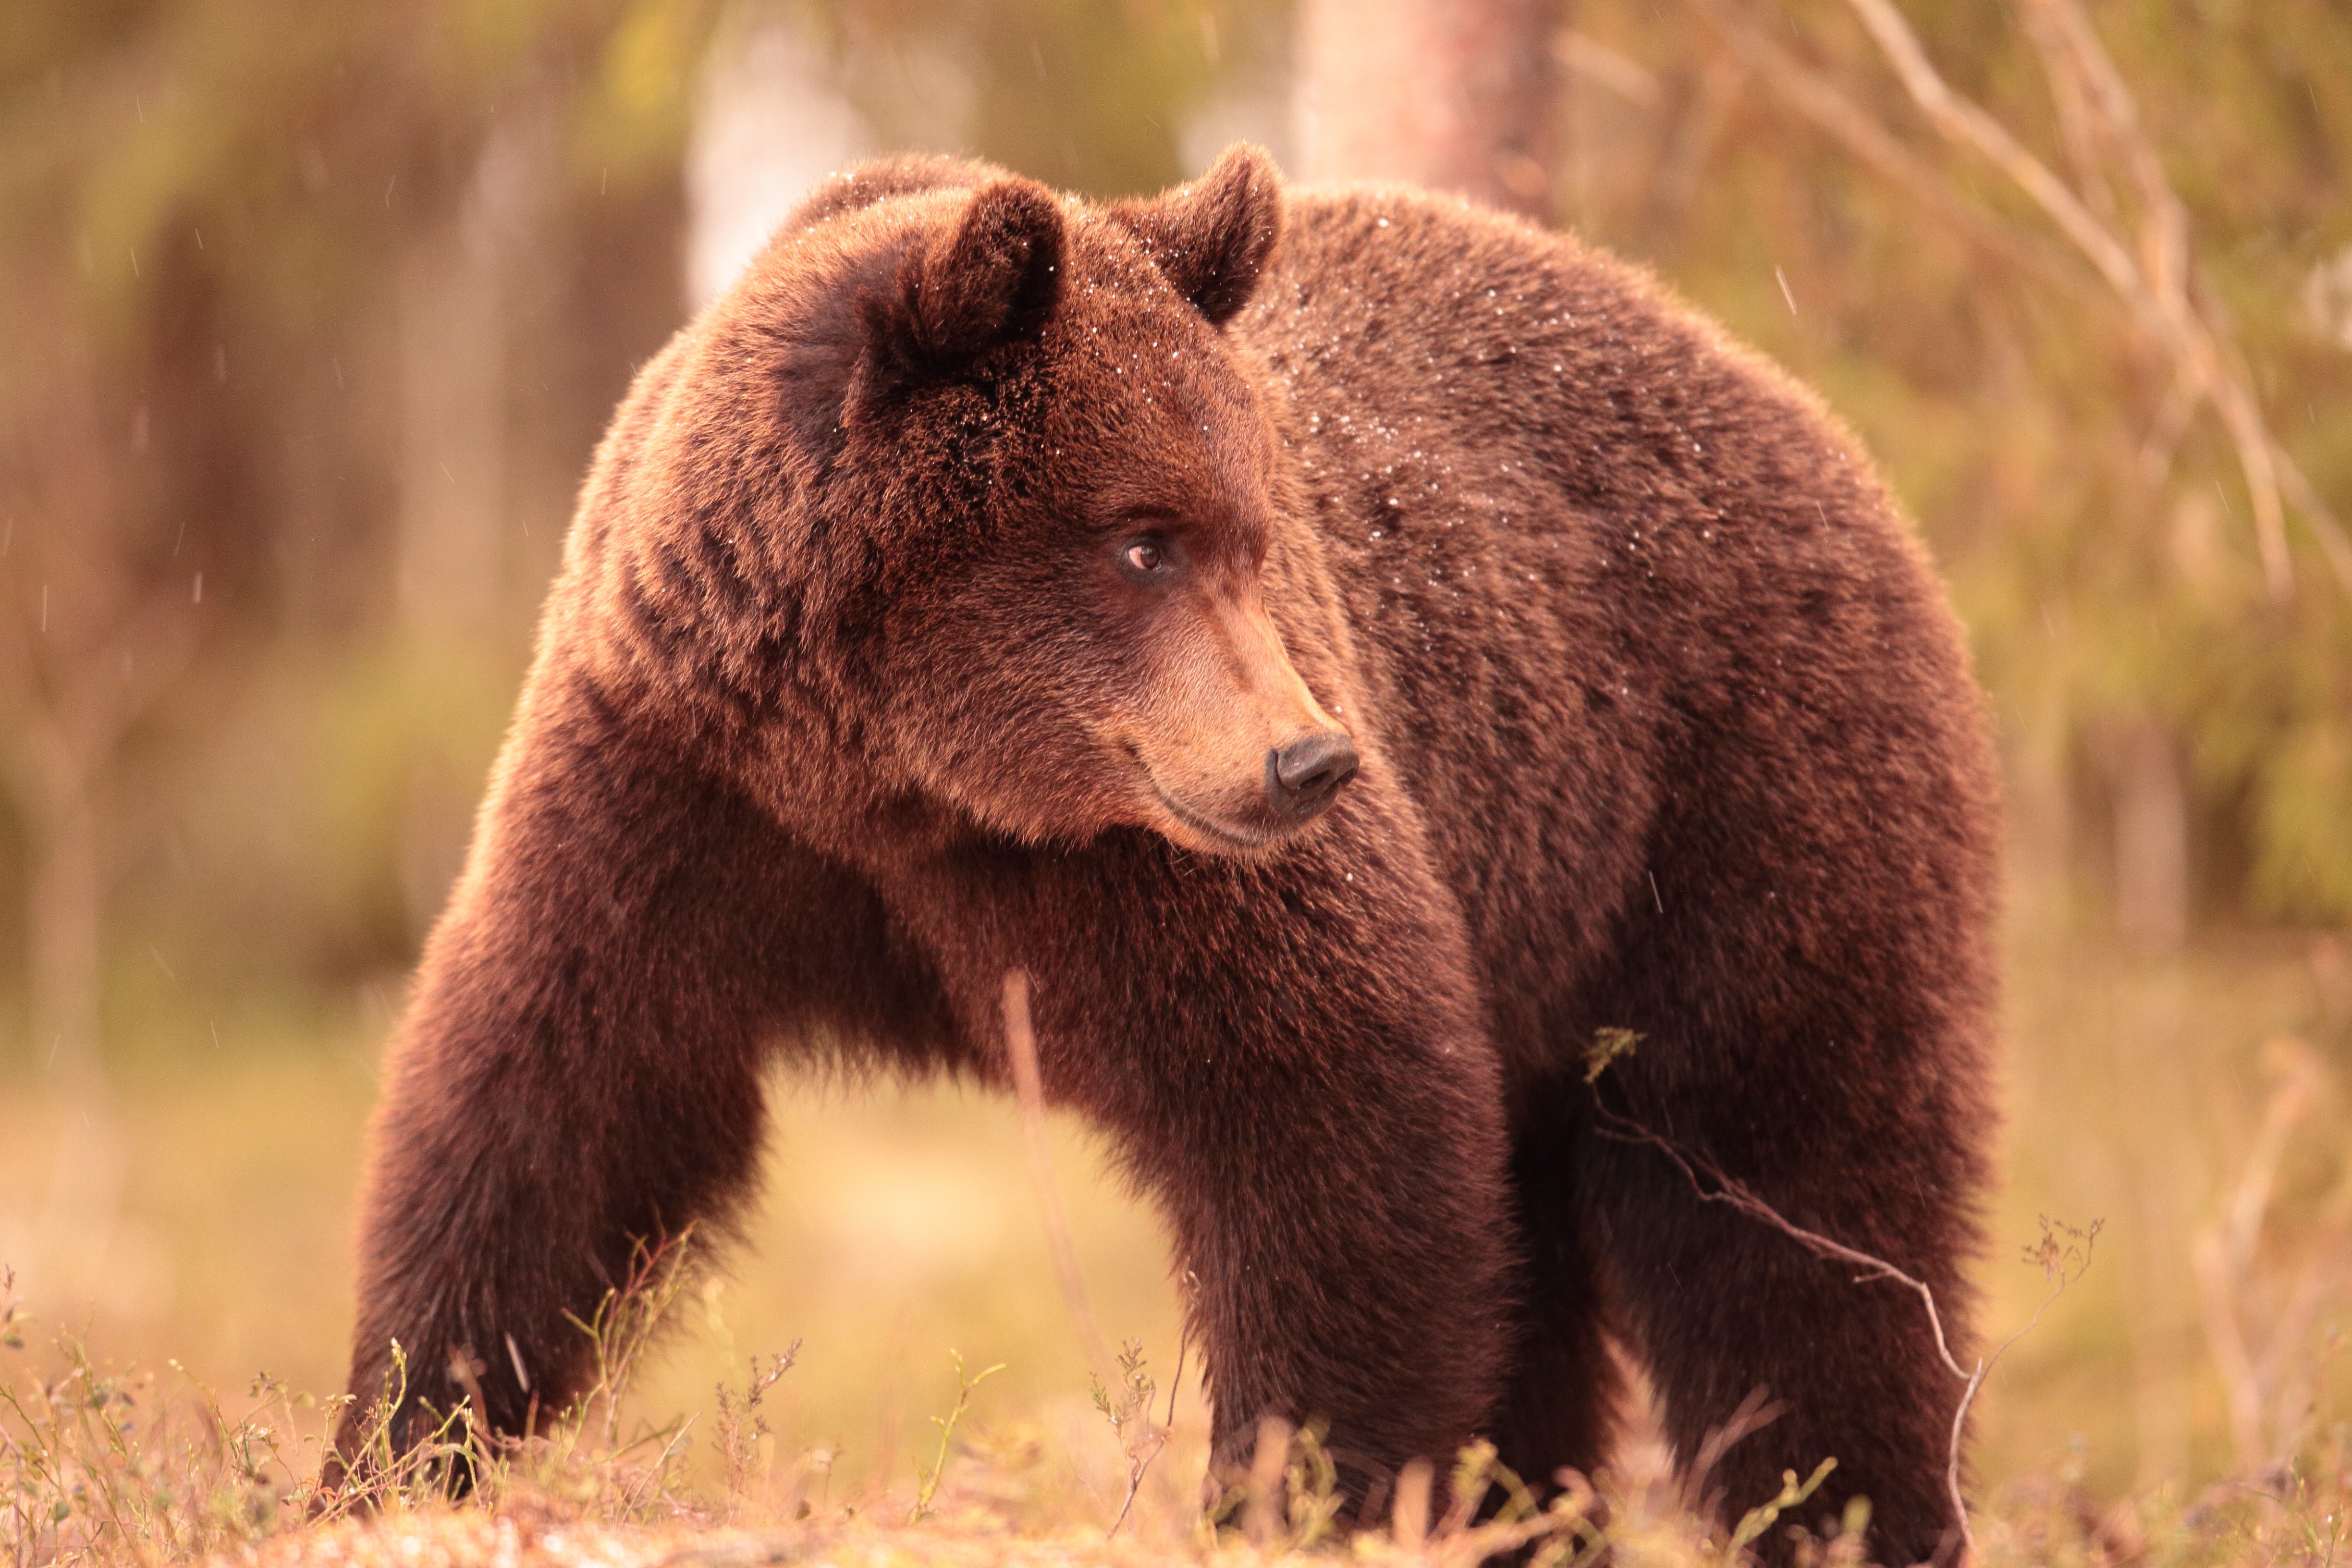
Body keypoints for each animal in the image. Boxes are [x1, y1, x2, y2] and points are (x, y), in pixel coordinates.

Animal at [341, 144, 1994, 1561]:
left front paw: (1297, 1495)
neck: (910, 781)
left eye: (1255, 531)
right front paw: (395, 1447)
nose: (1311, 760)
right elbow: (558, 1107)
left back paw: (1857, 1512)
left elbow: (1328, 1122)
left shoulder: (1169, 874)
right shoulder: (683, 797)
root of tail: (1793, 401)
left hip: (1730, 807)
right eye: (1147, 539)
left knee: (1794, 1214)